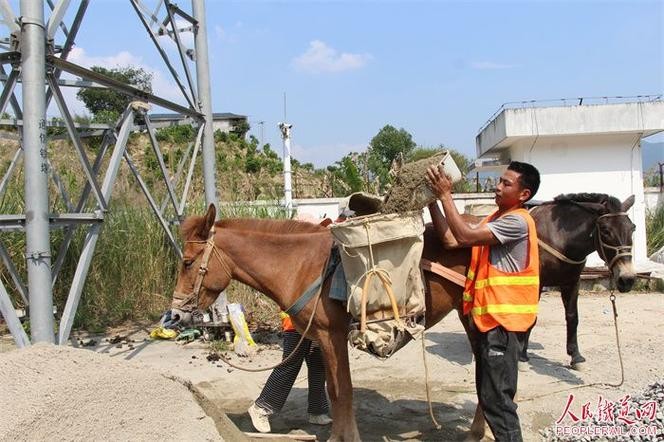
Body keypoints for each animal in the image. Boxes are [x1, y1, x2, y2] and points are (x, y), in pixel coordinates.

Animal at [169, 206, 474, 442]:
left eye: (188, 262)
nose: (175, 315)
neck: (300, 265)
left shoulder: (332, 336)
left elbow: (342, 390)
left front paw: (347, 437)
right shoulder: (322, 338)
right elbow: (333, 389)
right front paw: (337, 435)